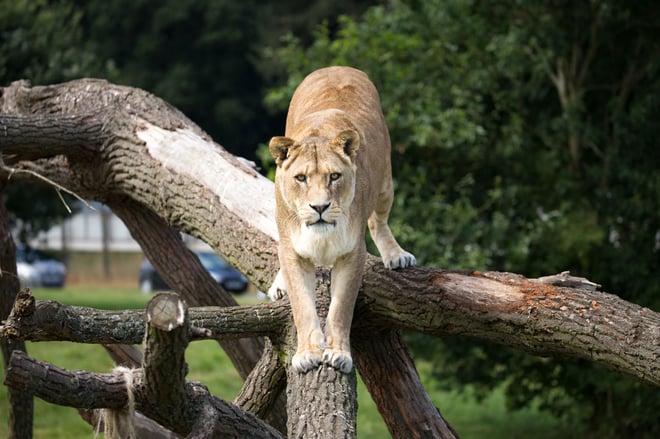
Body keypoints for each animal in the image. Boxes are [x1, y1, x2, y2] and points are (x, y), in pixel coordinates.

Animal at [268, 66, 416, 373]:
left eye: (334, 176)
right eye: (301, 178)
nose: (320, 206)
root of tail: (336, 67)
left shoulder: (352, 253)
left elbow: (340, 309)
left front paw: (337, 353)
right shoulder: (292, 252)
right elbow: (302, 305)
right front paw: (307, 353)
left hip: (386, 183)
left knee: (378, 222)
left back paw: (396, 255)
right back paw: (278, 285)